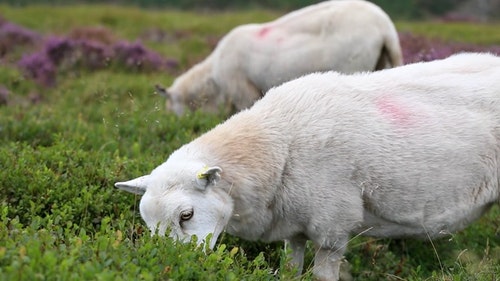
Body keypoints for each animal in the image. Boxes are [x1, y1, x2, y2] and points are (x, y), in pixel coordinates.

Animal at [114, 53, 500, 280]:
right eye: (148, 223)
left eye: (186, 215)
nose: (175, 265)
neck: (276, 144)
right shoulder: (294, 225)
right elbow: (290, 267)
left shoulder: (332, 226)